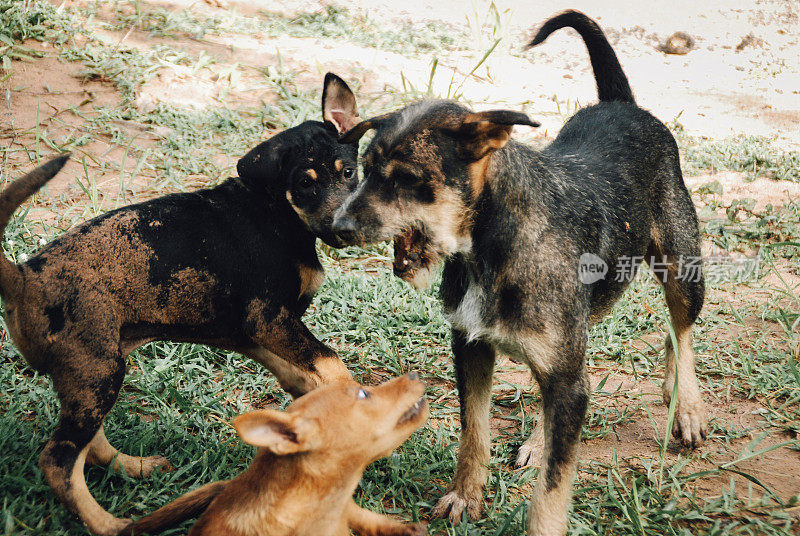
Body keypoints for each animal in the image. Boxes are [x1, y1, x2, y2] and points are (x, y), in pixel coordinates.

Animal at [0, 72, 362, 536]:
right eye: (305, 183)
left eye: (348, 172)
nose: (344, 229)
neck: (277, 213)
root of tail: (23, 276)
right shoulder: (266, 320)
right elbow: (332, 364)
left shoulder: (247, 331)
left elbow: (303, 372)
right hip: (98, 371)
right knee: (59, 461)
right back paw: (109, 523)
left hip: (92, 373)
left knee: (88, 446)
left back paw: (133, 468)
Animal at [332, 12, 708, 536]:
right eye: (362, 170)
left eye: (408, 178)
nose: (336, 228)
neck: (490, 245)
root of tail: (622, 104)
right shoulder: (471, 347)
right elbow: (475, 432)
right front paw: (465, 497)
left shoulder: (565, 379)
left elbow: (551, 490)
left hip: (682, 267)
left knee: (682, 329)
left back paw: (687, 406)